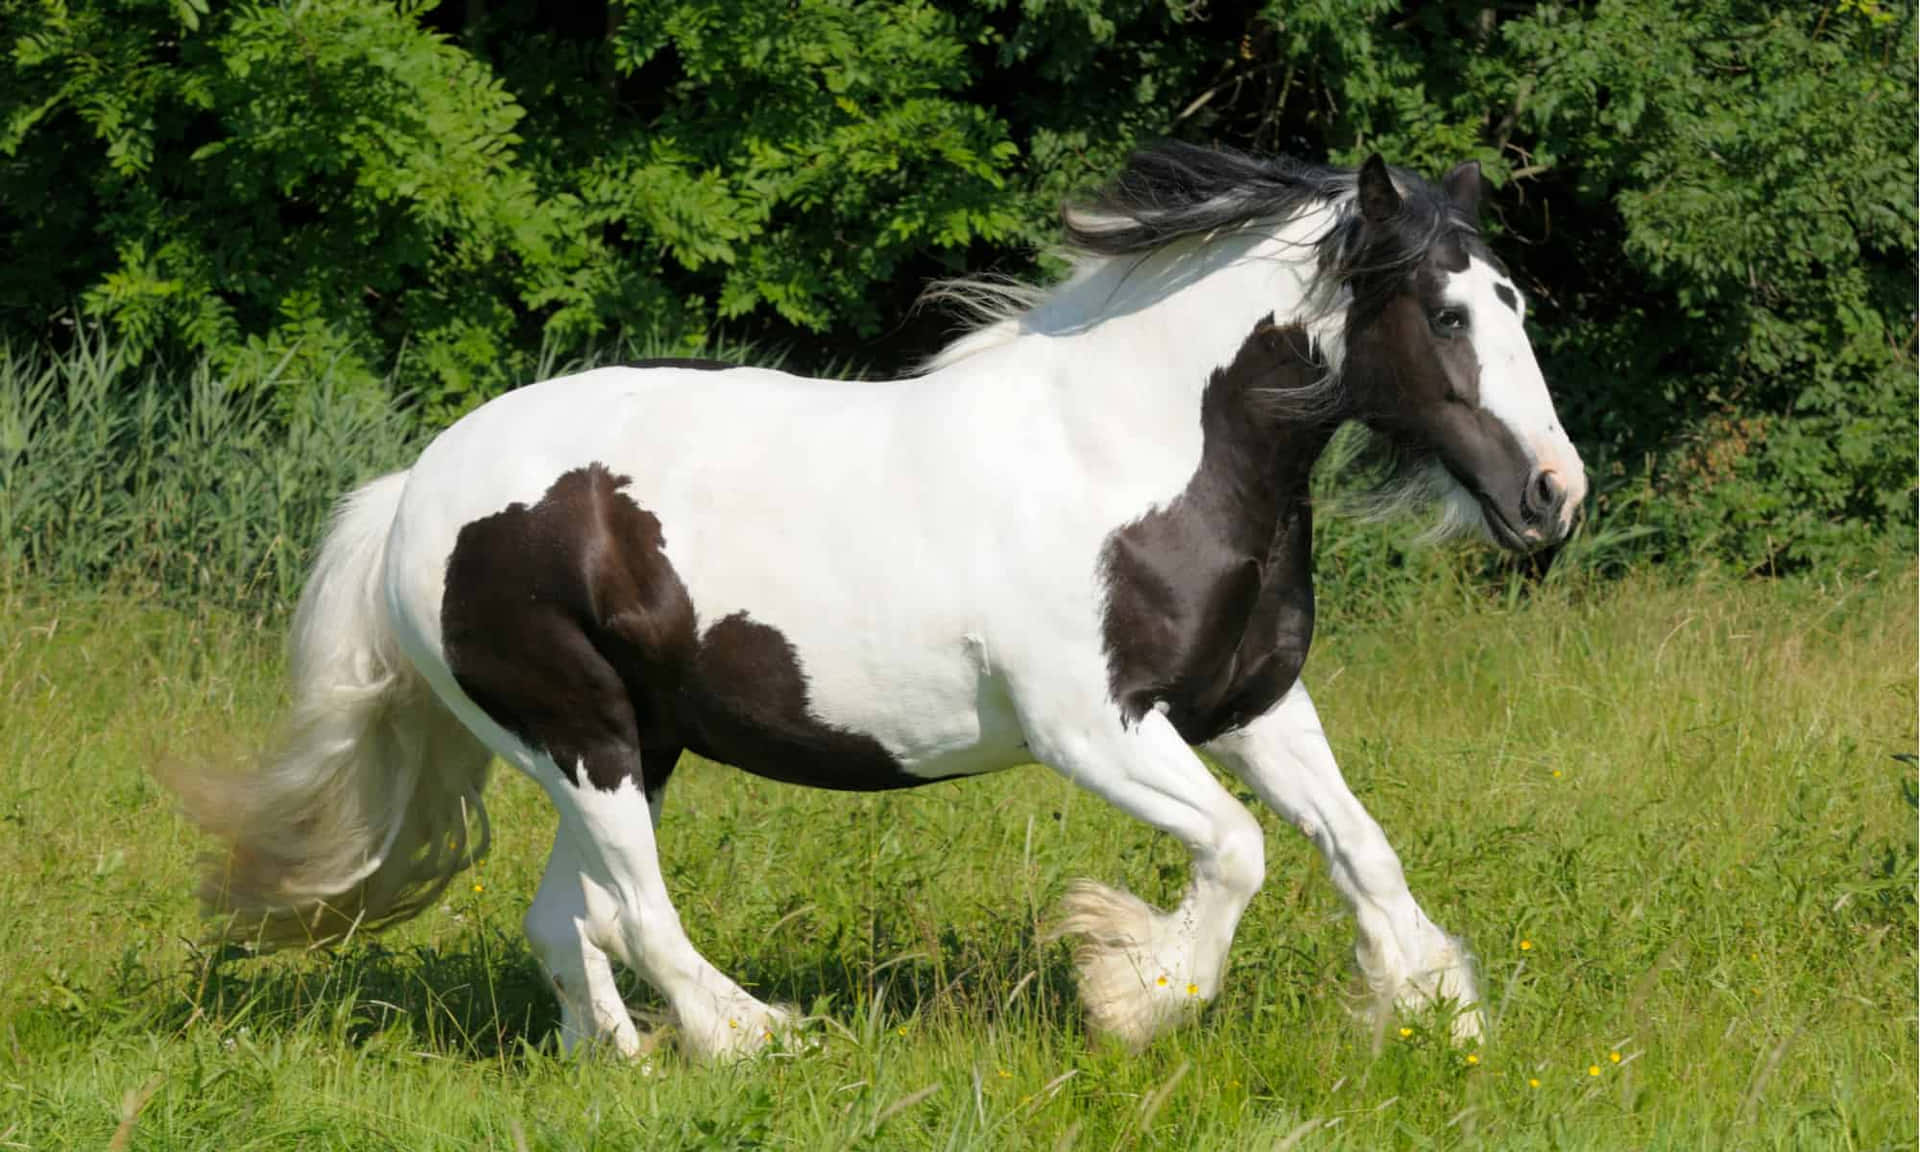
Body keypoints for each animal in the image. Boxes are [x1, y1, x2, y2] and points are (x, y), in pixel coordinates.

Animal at [175, 142, 1586, 1060]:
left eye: (1513, 300)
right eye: (1447, 313)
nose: (1555, 495)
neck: (1132, 455)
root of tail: (418, 486)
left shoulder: (1252, 705)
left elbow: (1360, 848)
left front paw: (1438, 1013)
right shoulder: (1095, 728)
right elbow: (1238, 850)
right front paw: (1134, 989)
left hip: (628, 742)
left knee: (567, 918)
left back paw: (622, 1065)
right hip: (578, 736)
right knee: (639, 913)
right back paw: (756, 1038)